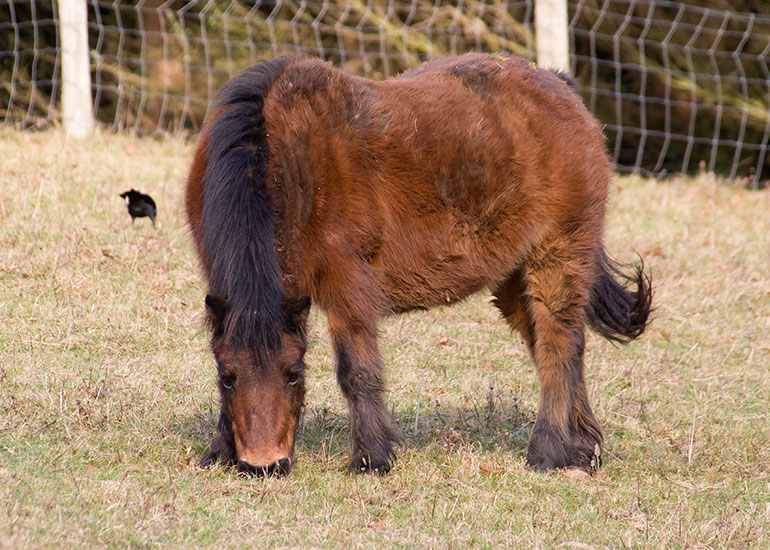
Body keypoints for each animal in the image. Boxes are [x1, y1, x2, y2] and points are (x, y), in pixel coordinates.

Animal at [184, 53, 652, 477]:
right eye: (228, 378)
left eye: (293, 374)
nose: (263, 464)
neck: (285, 159)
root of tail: (562, 89)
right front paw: (218, 452)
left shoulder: (348, 282)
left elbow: (356, 371)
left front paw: (372, 458)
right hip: (512, 276)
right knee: (554, 346)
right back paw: (583, 449)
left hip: (557, 254)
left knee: (559, 345)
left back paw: (549, 451)